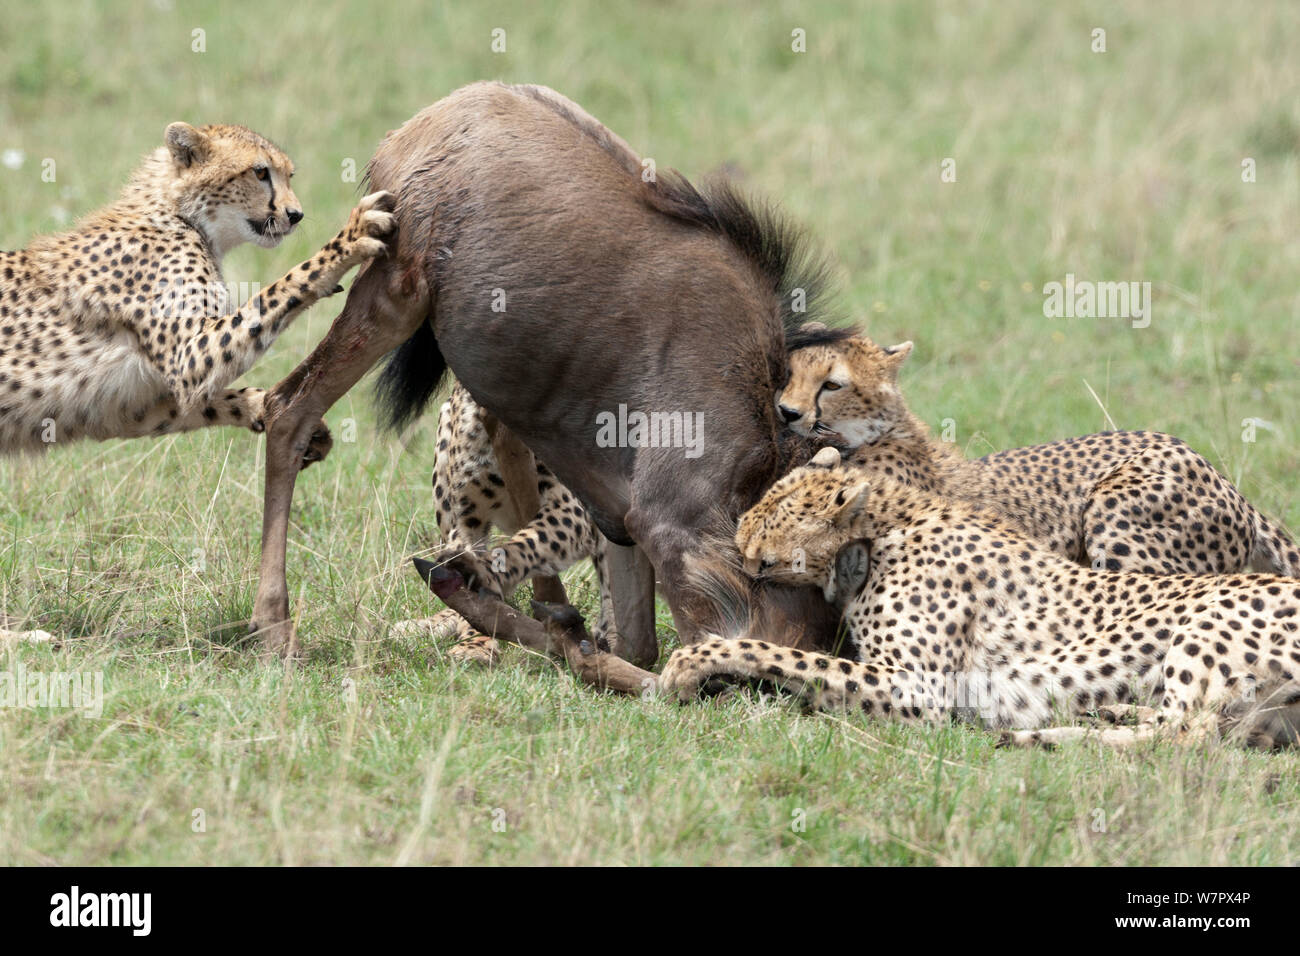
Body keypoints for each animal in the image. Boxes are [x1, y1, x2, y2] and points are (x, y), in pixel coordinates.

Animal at [0, 119, 395, 642]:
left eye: (288, 174)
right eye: (260, 172)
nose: (295, 214)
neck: (181, 215)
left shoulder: (124, 404)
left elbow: (205, 400)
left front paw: (268, 409)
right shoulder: (189, 354)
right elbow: (273, 295)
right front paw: (346, 240)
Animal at [660, 447, 1300, 749]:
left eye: (778, 519)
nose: (738, 539)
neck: (885, 531)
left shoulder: (919, 691)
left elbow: (784, 656)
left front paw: (690, 664)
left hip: (1201, 620)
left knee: (1186, 737)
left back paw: (1041, 739)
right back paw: (1106, 713)